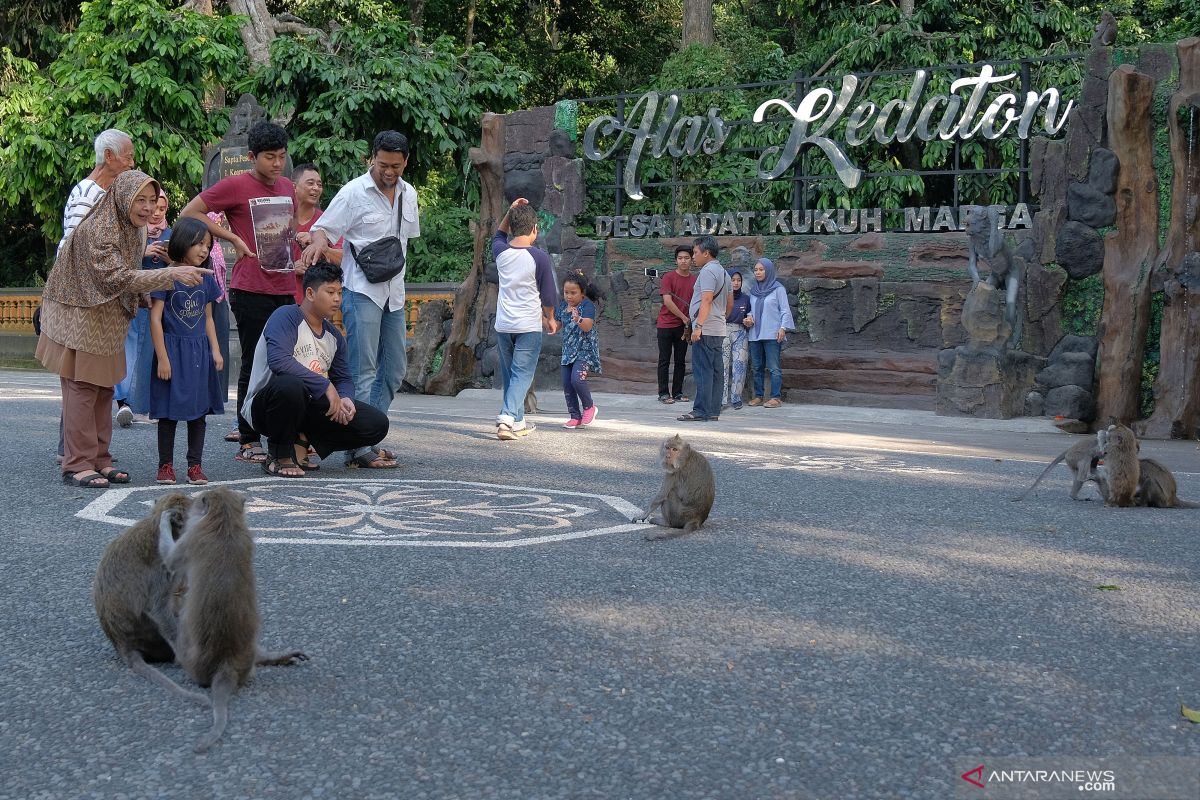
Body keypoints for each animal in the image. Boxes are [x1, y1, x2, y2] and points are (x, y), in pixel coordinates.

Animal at [158, 484, 309, 753]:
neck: (225, 521)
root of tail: (225, 663)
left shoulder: (192, 536)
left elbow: (171, 560)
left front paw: (164, 519)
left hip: (193, 661)